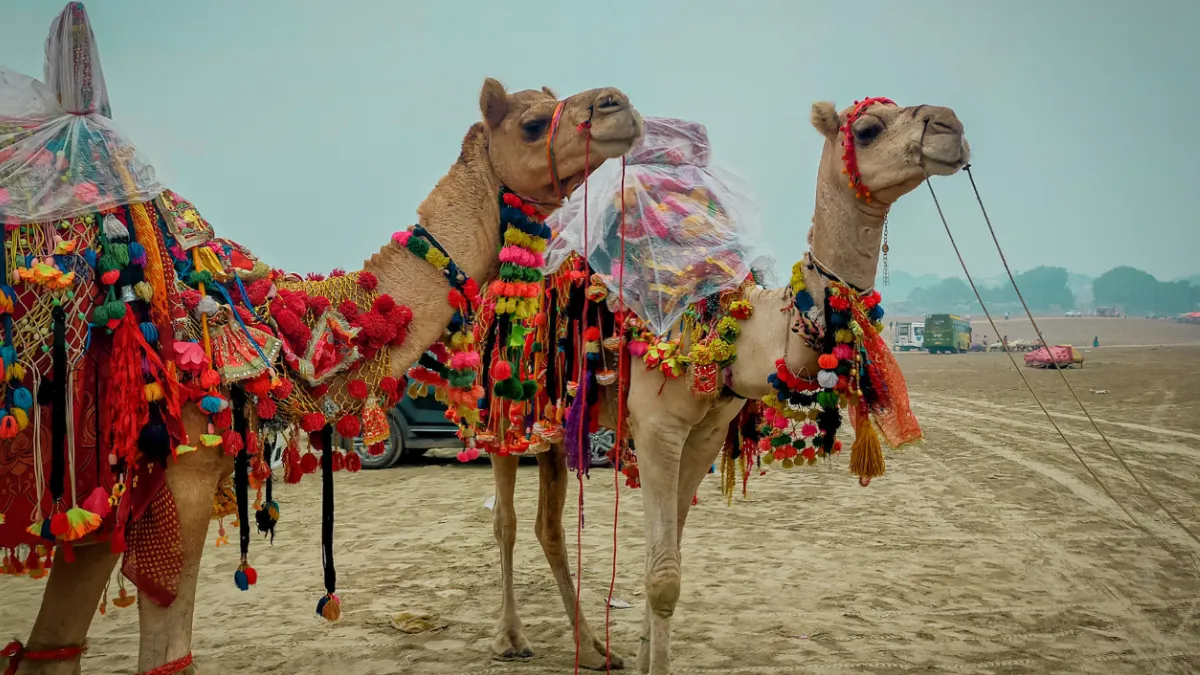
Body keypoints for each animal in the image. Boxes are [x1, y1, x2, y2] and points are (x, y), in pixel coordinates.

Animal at [1, 63, 642, 675]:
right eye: (532, 124)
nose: (619, 103)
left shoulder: (99, 507)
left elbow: (51, 654)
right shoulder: (181, 470)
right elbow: (166, 657)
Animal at [481, 98, 968, 675]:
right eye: (869, 128)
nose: (950, 126)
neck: (738, 327)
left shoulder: (707, 433)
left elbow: (666, 558)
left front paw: (642, 657)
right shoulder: (657, 426)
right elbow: (663, 576)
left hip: (557, 421)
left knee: (549, 526)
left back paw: (599, 649)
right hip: (504, 406)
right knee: (507, 520)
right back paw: (510, 638)